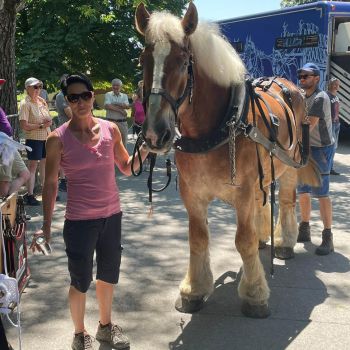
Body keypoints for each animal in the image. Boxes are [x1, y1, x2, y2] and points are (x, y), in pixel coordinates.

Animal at [135, 2, 320, 318]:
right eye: (142, 60)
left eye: (183, 62)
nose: (154, 133)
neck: (215, 126)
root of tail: (288, 84)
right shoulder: (192, 194)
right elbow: (198, 238)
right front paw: (194, 290)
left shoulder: (242, 190)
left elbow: (242, 240)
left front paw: (254, 293)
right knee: (263, 202)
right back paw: (264, 237)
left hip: (288, 165)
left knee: (285, 201)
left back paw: (284, 242)